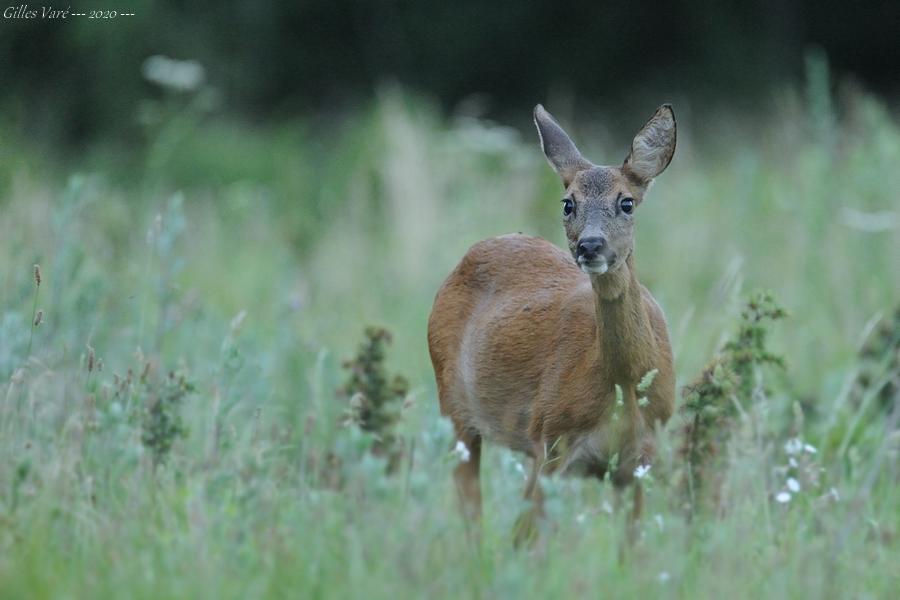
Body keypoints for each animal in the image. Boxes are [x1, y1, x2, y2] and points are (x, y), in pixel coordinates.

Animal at [428, 102, 676, 536]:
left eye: (627, 202)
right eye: (568, 203)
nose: (590, 245)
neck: (624, 384)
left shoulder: (639, 462)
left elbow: (633, 544)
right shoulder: (550, 439)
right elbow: (524, 538)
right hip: (455, 407)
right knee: (472, 510)